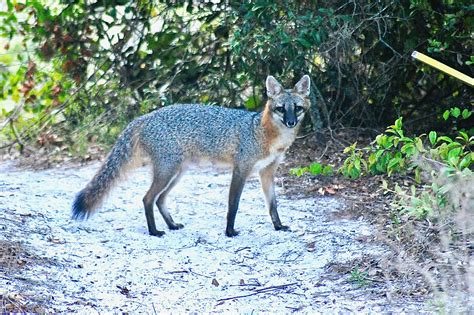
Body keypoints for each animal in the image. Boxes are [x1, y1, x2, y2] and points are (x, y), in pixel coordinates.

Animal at [72, 74, 312, 237]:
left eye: (297, 108)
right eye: (281, 109)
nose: (291, 122)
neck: (265, 134)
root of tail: (144, 117)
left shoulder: (267, 172)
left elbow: (273, 204)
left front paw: (278, 226)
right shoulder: (241, 170)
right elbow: (233, 205)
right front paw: (229, 231)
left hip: (177, 172)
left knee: (160, 199)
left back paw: (171, 225)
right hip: (168, 171)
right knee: (148, 198)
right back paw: (154, 231)